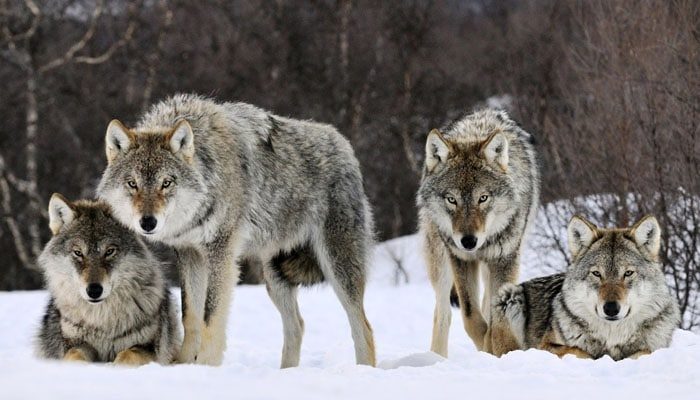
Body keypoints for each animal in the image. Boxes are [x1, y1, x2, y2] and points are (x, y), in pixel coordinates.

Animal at [36, 194, 180, 366]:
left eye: (109, 251)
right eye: (78, 253)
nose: (94, 290)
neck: (102, 321)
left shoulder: (149, 348)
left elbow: (128, 355)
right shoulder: (74, 343)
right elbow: (74, 356)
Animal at [97, 94, 378, 368]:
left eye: (166, 183)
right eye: (132, 183)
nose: (148, 222)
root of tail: (343, 144)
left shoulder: (221, 252)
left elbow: (210, 316)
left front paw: (206, 366)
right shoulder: (189, 254)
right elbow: (190, 315)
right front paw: (184, 364)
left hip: (337, 267)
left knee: (363, 327)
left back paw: (363, 370)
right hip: (274, 276)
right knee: (297, 325)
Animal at [418, 108, 540, 356]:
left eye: (483, 198)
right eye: (451, 199)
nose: (468, 241)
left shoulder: (505, 259)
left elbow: (495, 319)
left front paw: (495, 349)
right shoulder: (461, 259)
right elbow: (471, 317)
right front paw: (486, 346)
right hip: (440, 263)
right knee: (442, 313)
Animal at [492, 216, 680, 360]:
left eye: (628, 273)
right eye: (596, 273)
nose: (611, 308)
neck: (612, 337)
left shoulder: (654, 348)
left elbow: (644, 352)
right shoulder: (545, 345)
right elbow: (579, 351)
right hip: (509, 296)